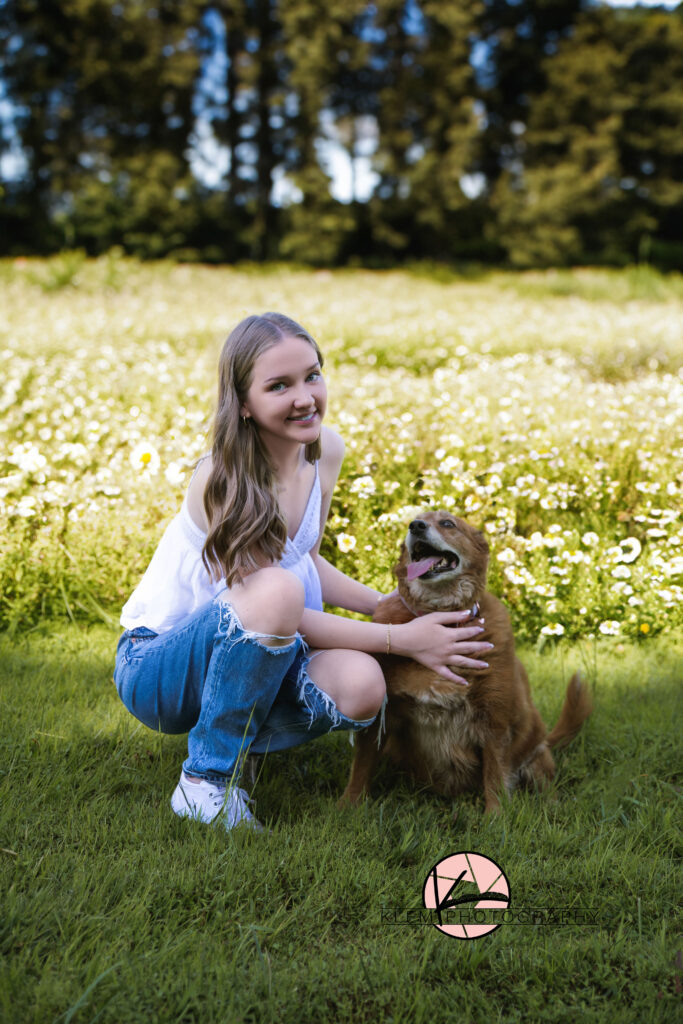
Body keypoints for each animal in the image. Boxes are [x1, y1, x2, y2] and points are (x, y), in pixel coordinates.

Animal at [342, 512, 593, 815]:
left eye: (448, 523)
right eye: (414, 519)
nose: (416, 526)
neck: (441, 616)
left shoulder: (494, 720)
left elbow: (495, 776)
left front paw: (495, 818)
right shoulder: (380, 718)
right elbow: (361, 768)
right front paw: (349, 807)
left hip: (535, 753)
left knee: (545, 785)